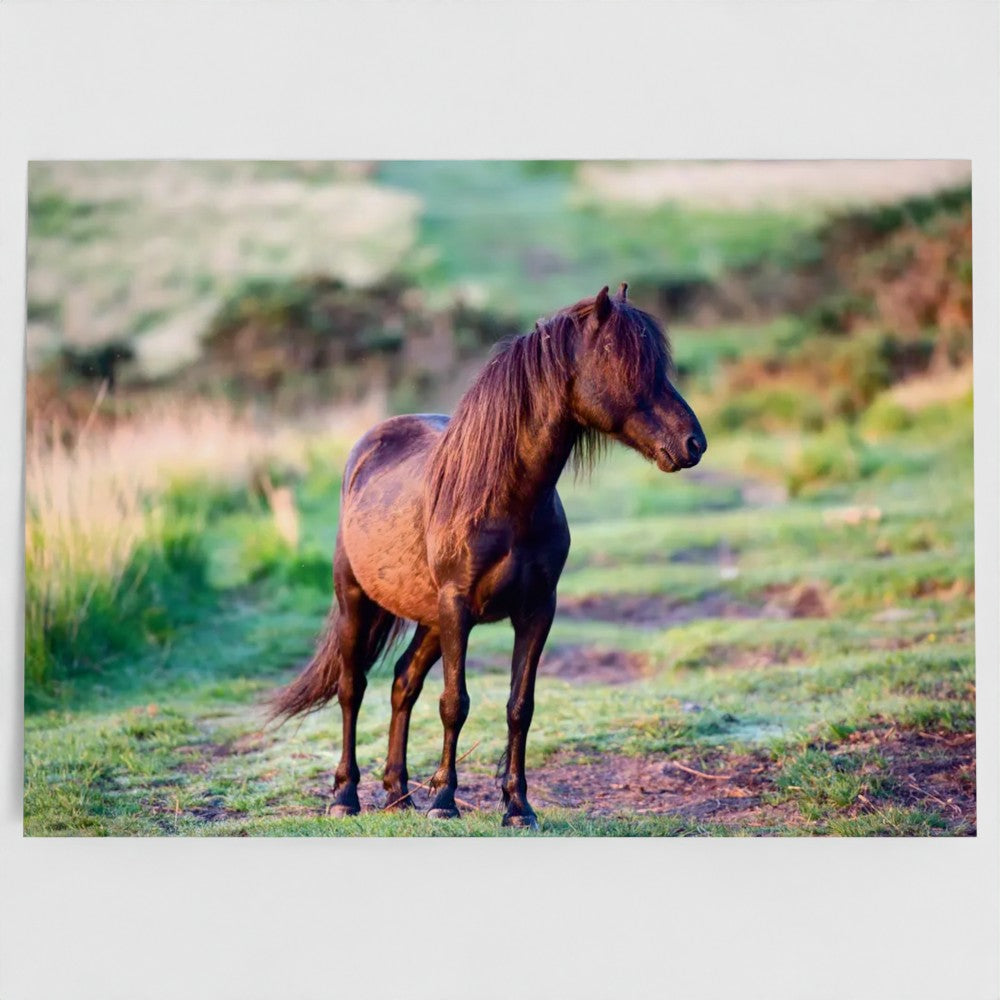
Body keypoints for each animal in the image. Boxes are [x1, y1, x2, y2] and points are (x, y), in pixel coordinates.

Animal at [268, 284, 706, 828]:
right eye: (623, 362)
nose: (694, 443)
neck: (506, 499)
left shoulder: (536, 611)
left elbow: (521, 706)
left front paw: (517, 807)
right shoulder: (458, 608)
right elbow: (454, 703)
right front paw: (444, 802)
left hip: (430, 619)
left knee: (402, 683)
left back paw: (398, 795)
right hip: (359, 602)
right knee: (353, 687)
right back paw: (345, 797)